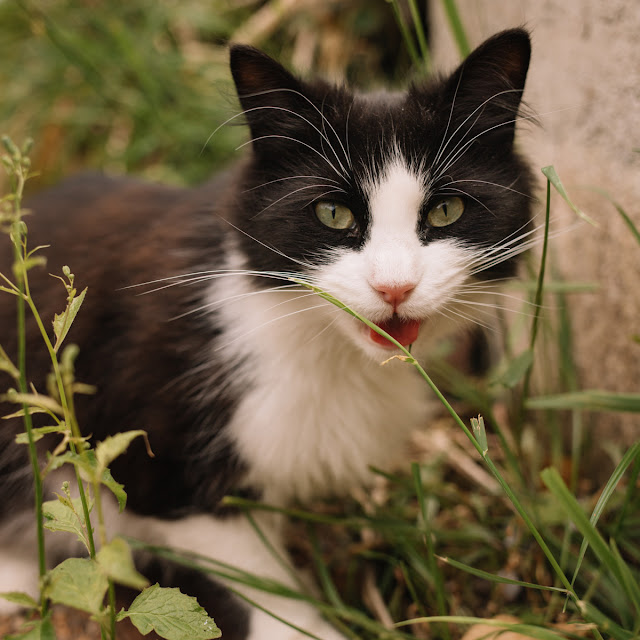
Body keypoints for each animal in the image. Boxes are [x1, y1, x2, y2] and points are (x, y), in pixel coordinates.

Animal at [0, 27, 536, 636]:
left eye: (447, 210)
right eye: (332, 214)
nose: (394, 287)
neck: (321, 344)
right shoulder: (151, 456)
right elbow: (251, 571)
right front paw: (300, 624)